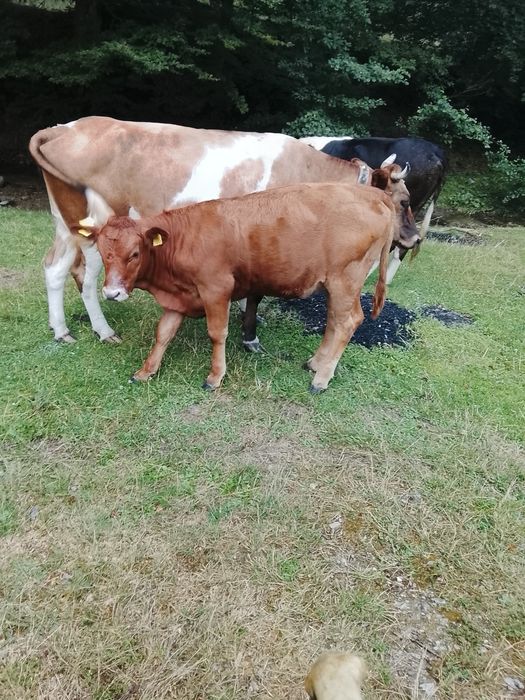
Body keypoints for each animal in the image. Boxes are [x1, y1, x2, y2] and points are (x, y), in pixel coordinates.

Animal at [30, 117, 380, 346]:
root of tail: (63, 128)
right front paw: (249, 333)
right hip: (93, 228)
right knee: (86, 277)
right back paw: (104, 331)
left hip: (65, 224)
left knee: (55, 268)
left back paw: (61, 330)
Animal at [73, 172, 420, 393]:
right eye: (103, 252)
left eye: (134, 253)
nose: (112, 292)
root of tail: (371, 194)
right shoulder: (178, 298)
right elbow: (163, 334)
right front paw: (146, 371)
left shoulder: (216, 289)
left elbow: (217, 333)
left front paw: (215, 376)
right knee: (335, 322)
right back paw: (315, 363)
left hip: (345, 280)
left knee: (347, 322)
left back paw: (321, 378)